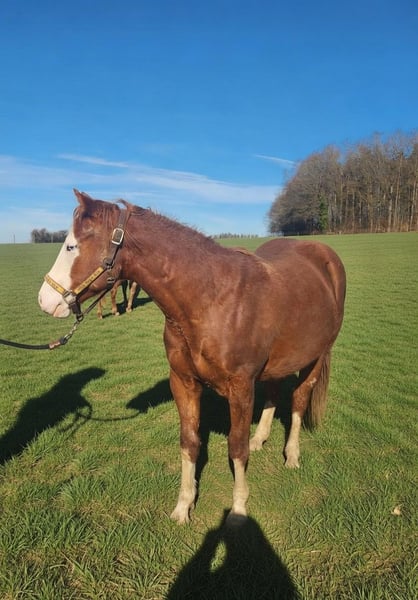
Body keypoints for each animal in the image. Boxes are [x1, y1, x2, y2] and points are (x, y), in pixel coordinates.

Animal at [38, 190, 346, 524]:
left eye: (71, 246)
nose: (45, 300)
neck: (211, 300)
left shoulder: (241, 388)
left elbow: (236, 447)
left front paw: (239, 508)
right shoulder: (183, 382)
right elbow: (189, 443)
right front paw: (183, 505)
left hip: (316, 357)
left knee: (299, 400)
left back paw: (291, 455)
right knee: (274, 393)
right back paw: (261, 438)